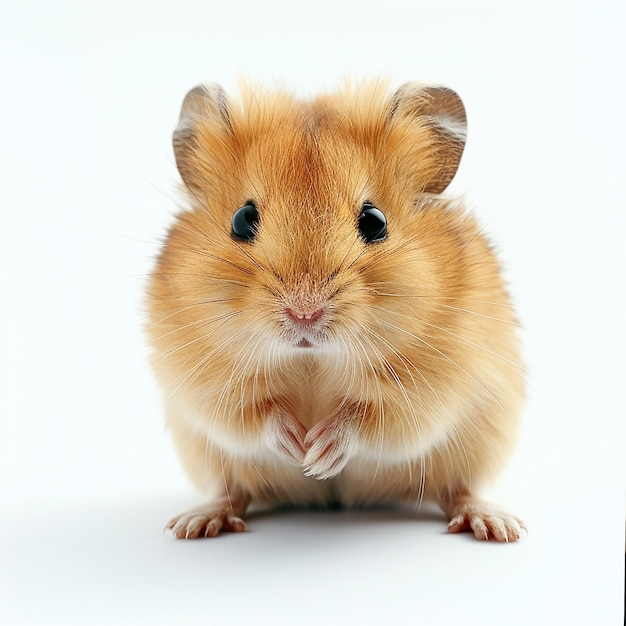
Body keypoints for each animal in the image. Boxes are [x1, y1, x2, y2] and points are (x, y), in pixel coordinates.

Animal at [147, 78, 528, 540]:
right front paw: (299, 447)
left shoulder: (431, 388)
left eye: (375, 221)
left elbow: (371, 417)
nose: (304, 314)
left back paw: (497, 525)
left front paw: (318, 454)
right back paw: (194, 523)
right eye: (241, 219)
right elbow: (253, 413)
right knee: (234, 491)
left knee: (455, 489)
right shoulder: (204, 384)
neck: (313, 360)